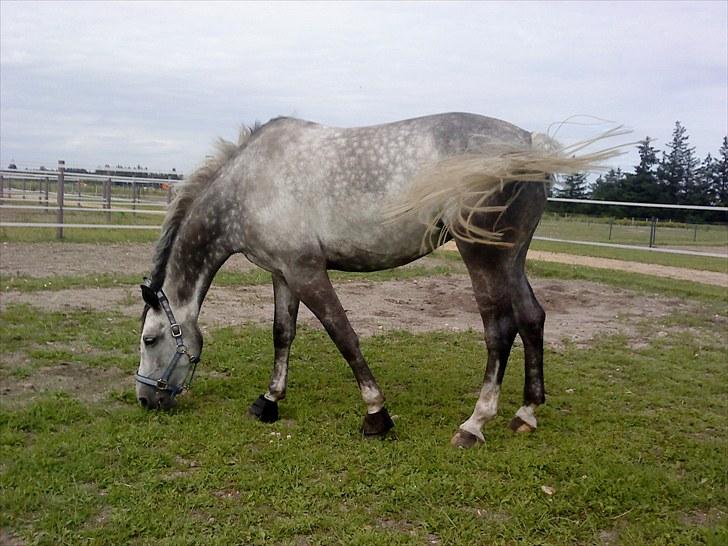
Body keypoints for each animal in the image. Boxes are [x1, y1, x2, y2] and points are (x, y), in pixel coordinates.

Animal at [135, 111, 616, 446]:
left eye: (149, 339)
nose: (144, 399)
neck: (250, 182)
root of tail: (526, 141)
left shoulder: (308, 272)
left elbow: (343, 336)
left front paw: (376, 415)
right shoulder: (283, 274)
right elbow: (282, 334)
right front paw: (268, 401)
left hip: (483, 257)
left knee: (500, 330)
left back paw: (474, 424)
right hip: (512, 258)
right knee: (533, 318)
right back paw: (526, 413)